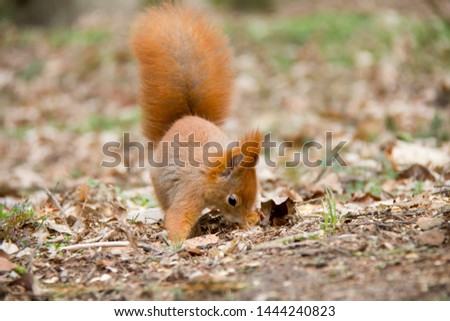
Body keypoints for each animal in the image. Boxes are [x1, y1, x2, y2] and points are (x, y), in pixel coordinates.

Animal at [130, 4, 262, 240]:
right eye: (232, 200)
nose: (243, 222)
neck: (207, 176)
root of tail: (184, 117)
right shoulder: (190, 191)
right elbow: (178, 216)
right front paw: (177, 241)